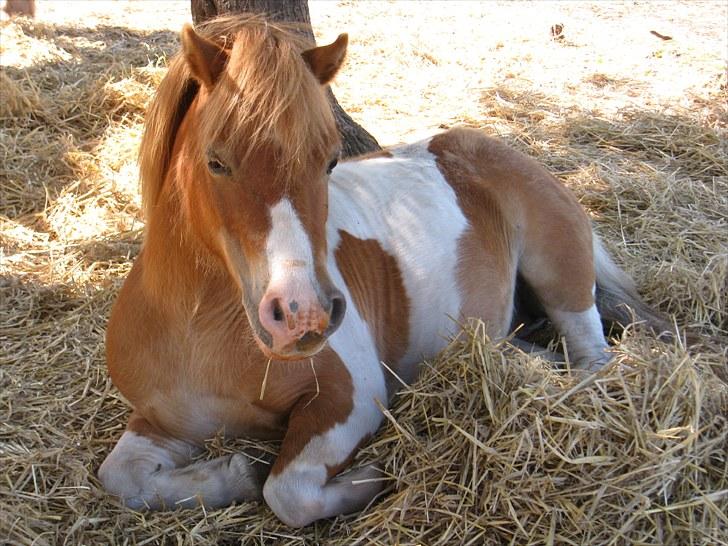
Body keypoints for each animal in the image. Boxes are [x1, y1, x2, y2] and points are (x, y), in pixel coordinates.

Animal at [98, 14, 672, 524]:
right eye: (216, 161)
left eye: (330, 161)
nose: (303, 314)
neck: (198, 326)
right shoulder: (162, 420)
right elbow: (118, 477)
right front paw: (232, 474)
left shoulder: (351, 398)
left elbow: (286, 492)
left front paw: (368, 477)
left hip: (560, 273)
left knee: (591, 359)